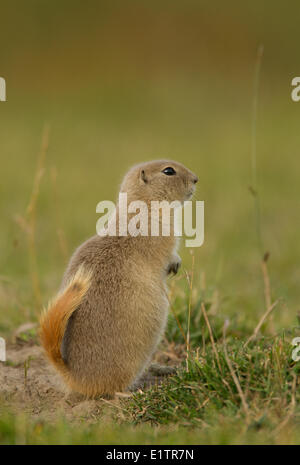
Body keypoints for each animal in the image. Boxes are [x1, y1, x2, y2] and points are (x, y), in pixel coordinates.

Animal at [40, 160, 199, 396]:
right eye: (168, 171)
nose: (196, 179)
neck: (143, 206)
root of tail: (74, 377)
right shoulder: (164, 236)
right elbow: (167, 253)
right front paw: (175, 263)